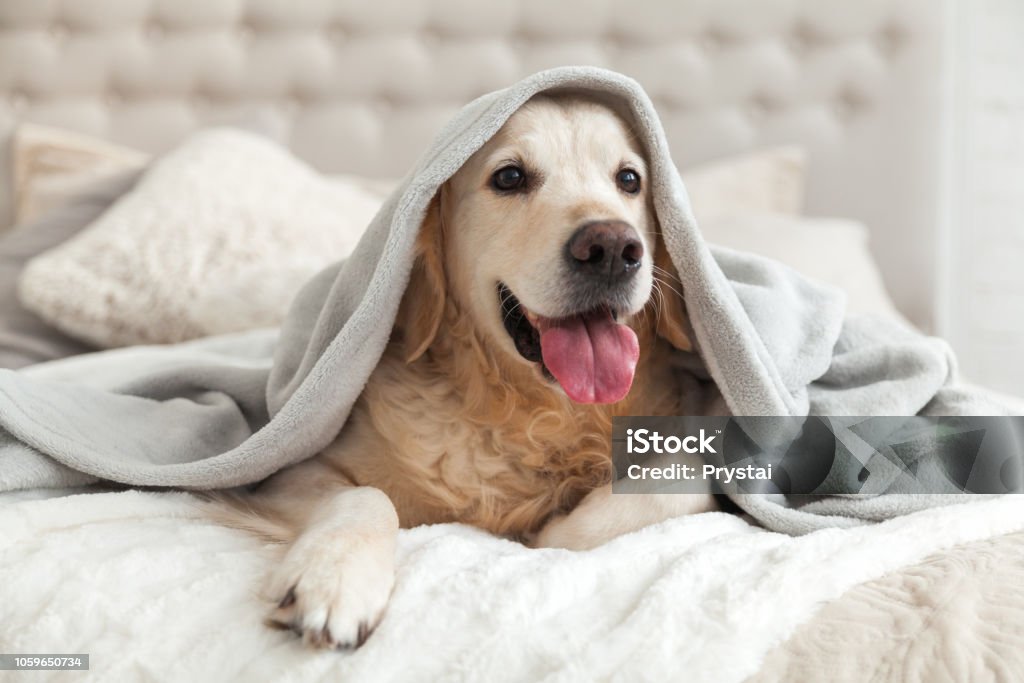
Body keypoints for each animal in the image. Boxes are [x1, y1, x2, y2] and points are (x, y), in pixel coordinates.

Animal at [212, 92, 716, 651]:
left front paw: (553, 530)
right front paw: (333, 576)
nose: (611, 249)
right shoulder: (285, 473)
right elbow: (365, 494)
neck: (529, 413)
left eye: (629, 180)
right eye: (510, 177)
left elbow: (683, 481)